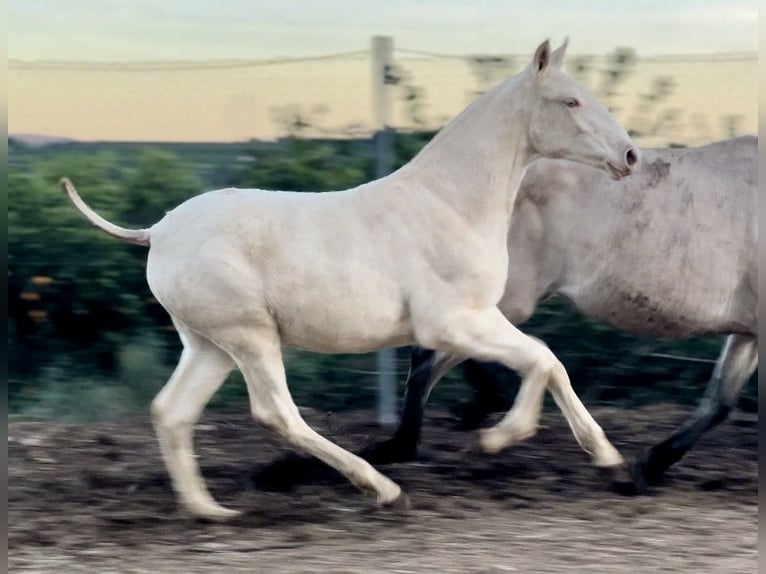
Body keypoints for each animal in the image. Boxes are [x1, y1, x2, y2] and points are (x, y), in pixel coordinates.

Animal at [60, 38, 640, 520]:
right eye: (570, 101)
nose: (630, 155)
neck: (450, 202)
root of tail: (157, 231)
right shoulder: (451, 323)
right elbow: (541, 358)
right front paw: (497, 440)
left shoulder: (480, 318)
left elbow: (551, 362)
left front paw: (611, 461)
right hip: (248, 336)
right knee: (275, 413)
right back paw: (381, 489)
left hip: (209, 345)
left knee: (172, 411)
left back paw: (210, 511)